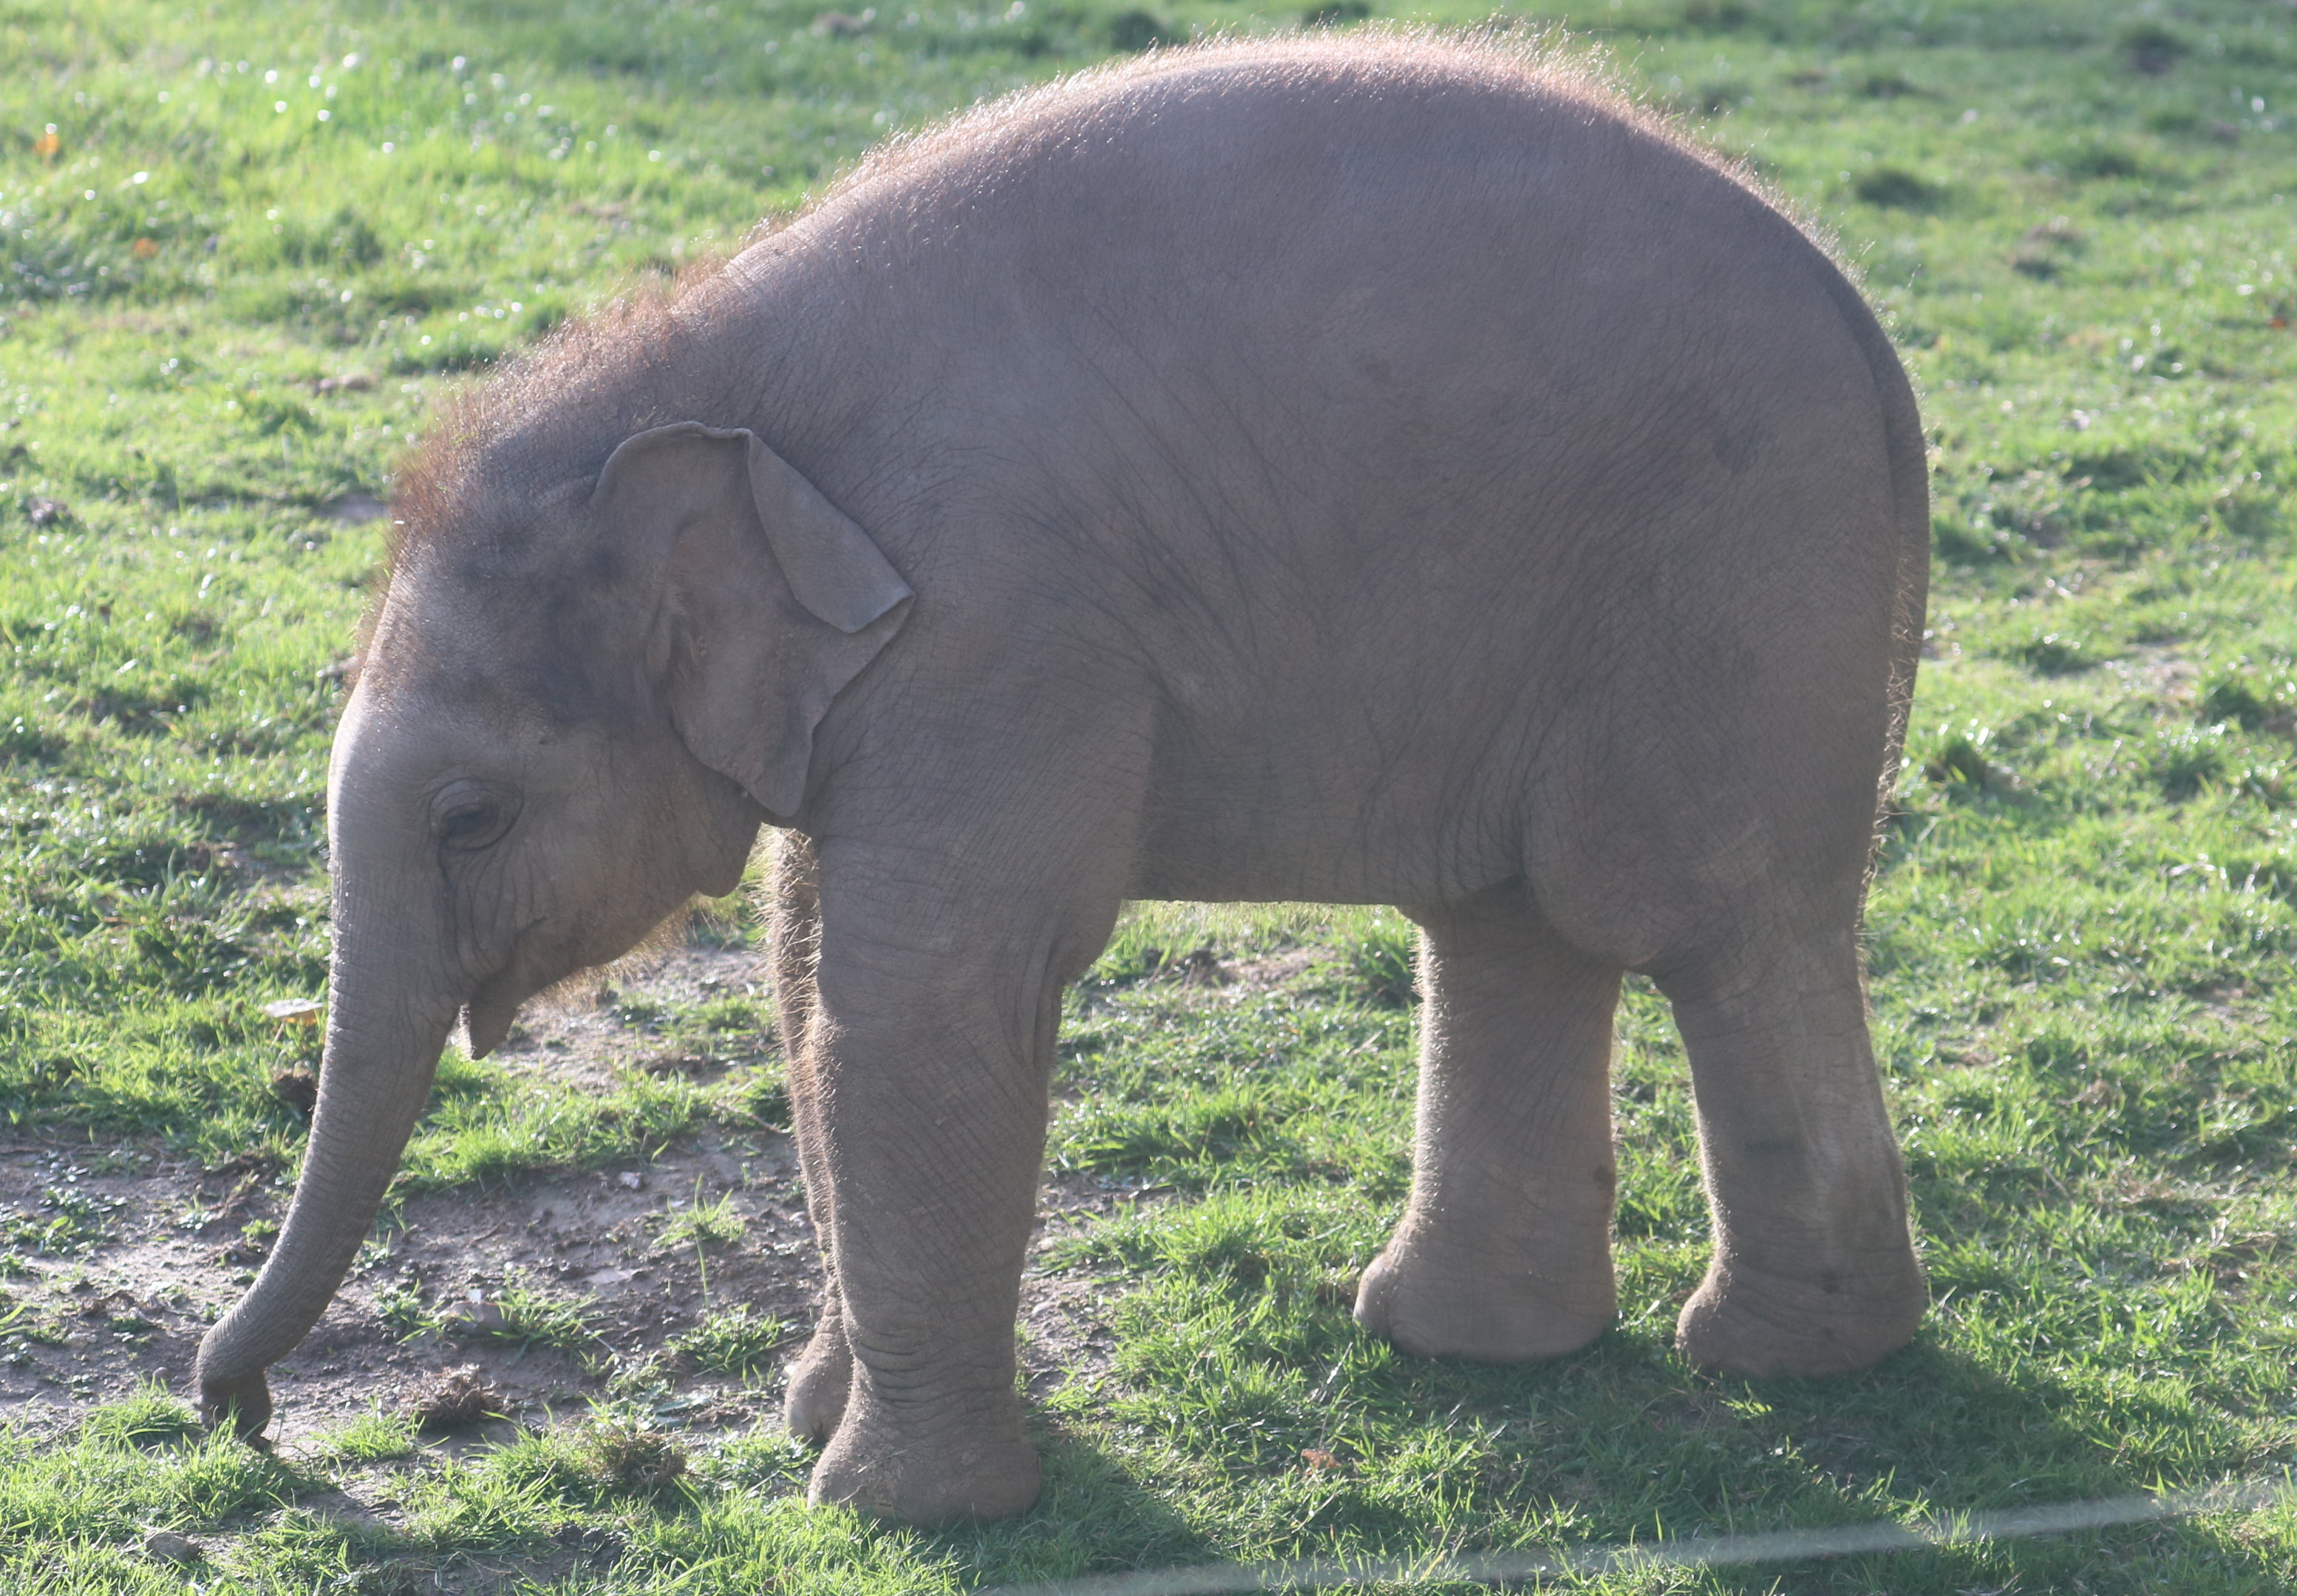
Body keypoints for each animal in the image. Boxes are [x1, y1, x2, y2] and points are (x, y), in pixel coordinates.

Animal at [195, 34, 1931, 1525]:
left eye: (469, 817)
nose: (240, 1411)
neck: (702, 377)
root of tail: (1858, 306)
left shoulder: (996, 614)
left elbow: (921, 993)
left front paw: (892, 1510)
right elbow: (806, 969)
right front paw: (813, 1418)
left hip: (1738, 587)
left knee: (1714, 924)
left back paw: (1779, 1363)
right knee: (1513, 929)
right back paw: (1465, 1343)